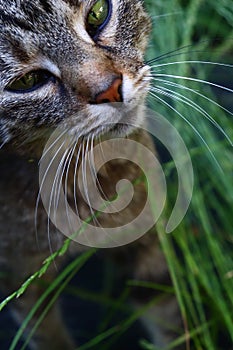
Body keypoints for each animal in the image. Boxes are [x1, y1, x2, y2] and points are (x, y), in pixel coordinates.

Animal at [0, 0, 182, 350]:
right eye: (27, 82)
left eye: (97, 13)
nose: (110, 90)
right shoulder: (20, 279)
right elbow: (49, 336)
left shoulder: (144, 229)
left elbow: (170, 316)